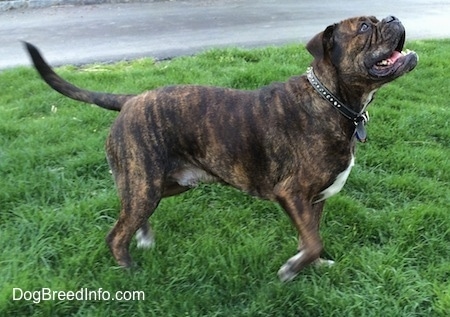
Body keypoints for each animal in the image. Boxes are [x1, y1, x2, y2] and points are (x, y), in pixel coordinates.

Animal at [25, 15, 418, 282]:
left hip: (166, 184)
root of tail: (131, 100)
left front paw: (312, 265)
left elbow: (312, 237)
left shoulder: (315, 200)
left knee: (130, 216)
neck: (331, 99)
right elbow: (313, 241)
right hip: (145, 184)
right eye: (364, 27)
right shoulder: (292, 193)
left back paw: (144, 238)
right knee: (116, 233)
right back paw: (129, 271)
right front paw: (292, 269)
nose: (393, 17)